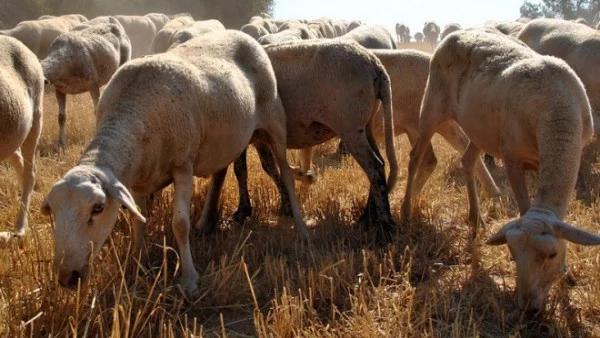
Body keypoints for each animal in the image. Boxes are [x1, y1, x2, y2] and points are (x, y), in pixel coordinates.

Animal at [41, 20, 132, 148]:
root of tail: (116, 25)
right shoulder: (59, 90)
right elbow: (61, 117)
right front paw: (61, 144)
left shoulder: (93, 85)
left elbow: (96, 111)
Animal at [232, 39, 400, 239]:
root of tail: (375, 65)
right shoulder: (260, 137)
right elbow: (269, 167)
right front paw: (286, 204)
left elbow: (241, 171)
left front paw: (242, 211)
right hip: (365, 124)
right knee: (380, 162)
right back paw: (367, 217)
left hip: (350, 127)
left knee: (375, 167)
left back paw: (386, 226)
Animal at [398, 29, 600, 312]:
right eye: (512, 255)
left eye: (551, 254)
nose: (528, 308)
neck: (556, 110)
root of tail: (458, 32)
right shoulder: (513, 159)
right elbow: (525, 207)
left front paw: (567, 274)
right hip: (431, 106)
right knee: (416, 158)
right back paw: (406, 210)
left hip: (478, 128)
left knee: (468, 161)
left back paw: (475, 219)